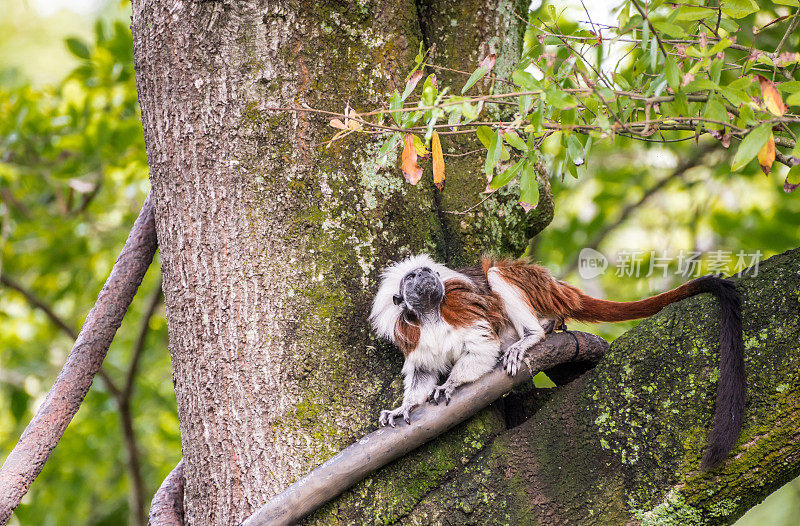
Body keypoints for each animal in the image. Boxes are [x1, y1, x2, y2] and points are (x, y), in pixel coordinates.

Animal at [372, 255, 748, 470]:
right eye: (412, 278)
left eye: (425, 272)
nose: (424, 275)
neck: (432, 315)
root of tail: (558, 288)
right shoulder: (413, 337)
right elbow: (422, 375)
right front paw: (404, 407)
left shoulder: (459, 307)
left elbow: (482, 348)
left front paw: (450, 383)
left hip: (535, 288)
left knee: (496, 275)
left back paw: (535, 333)